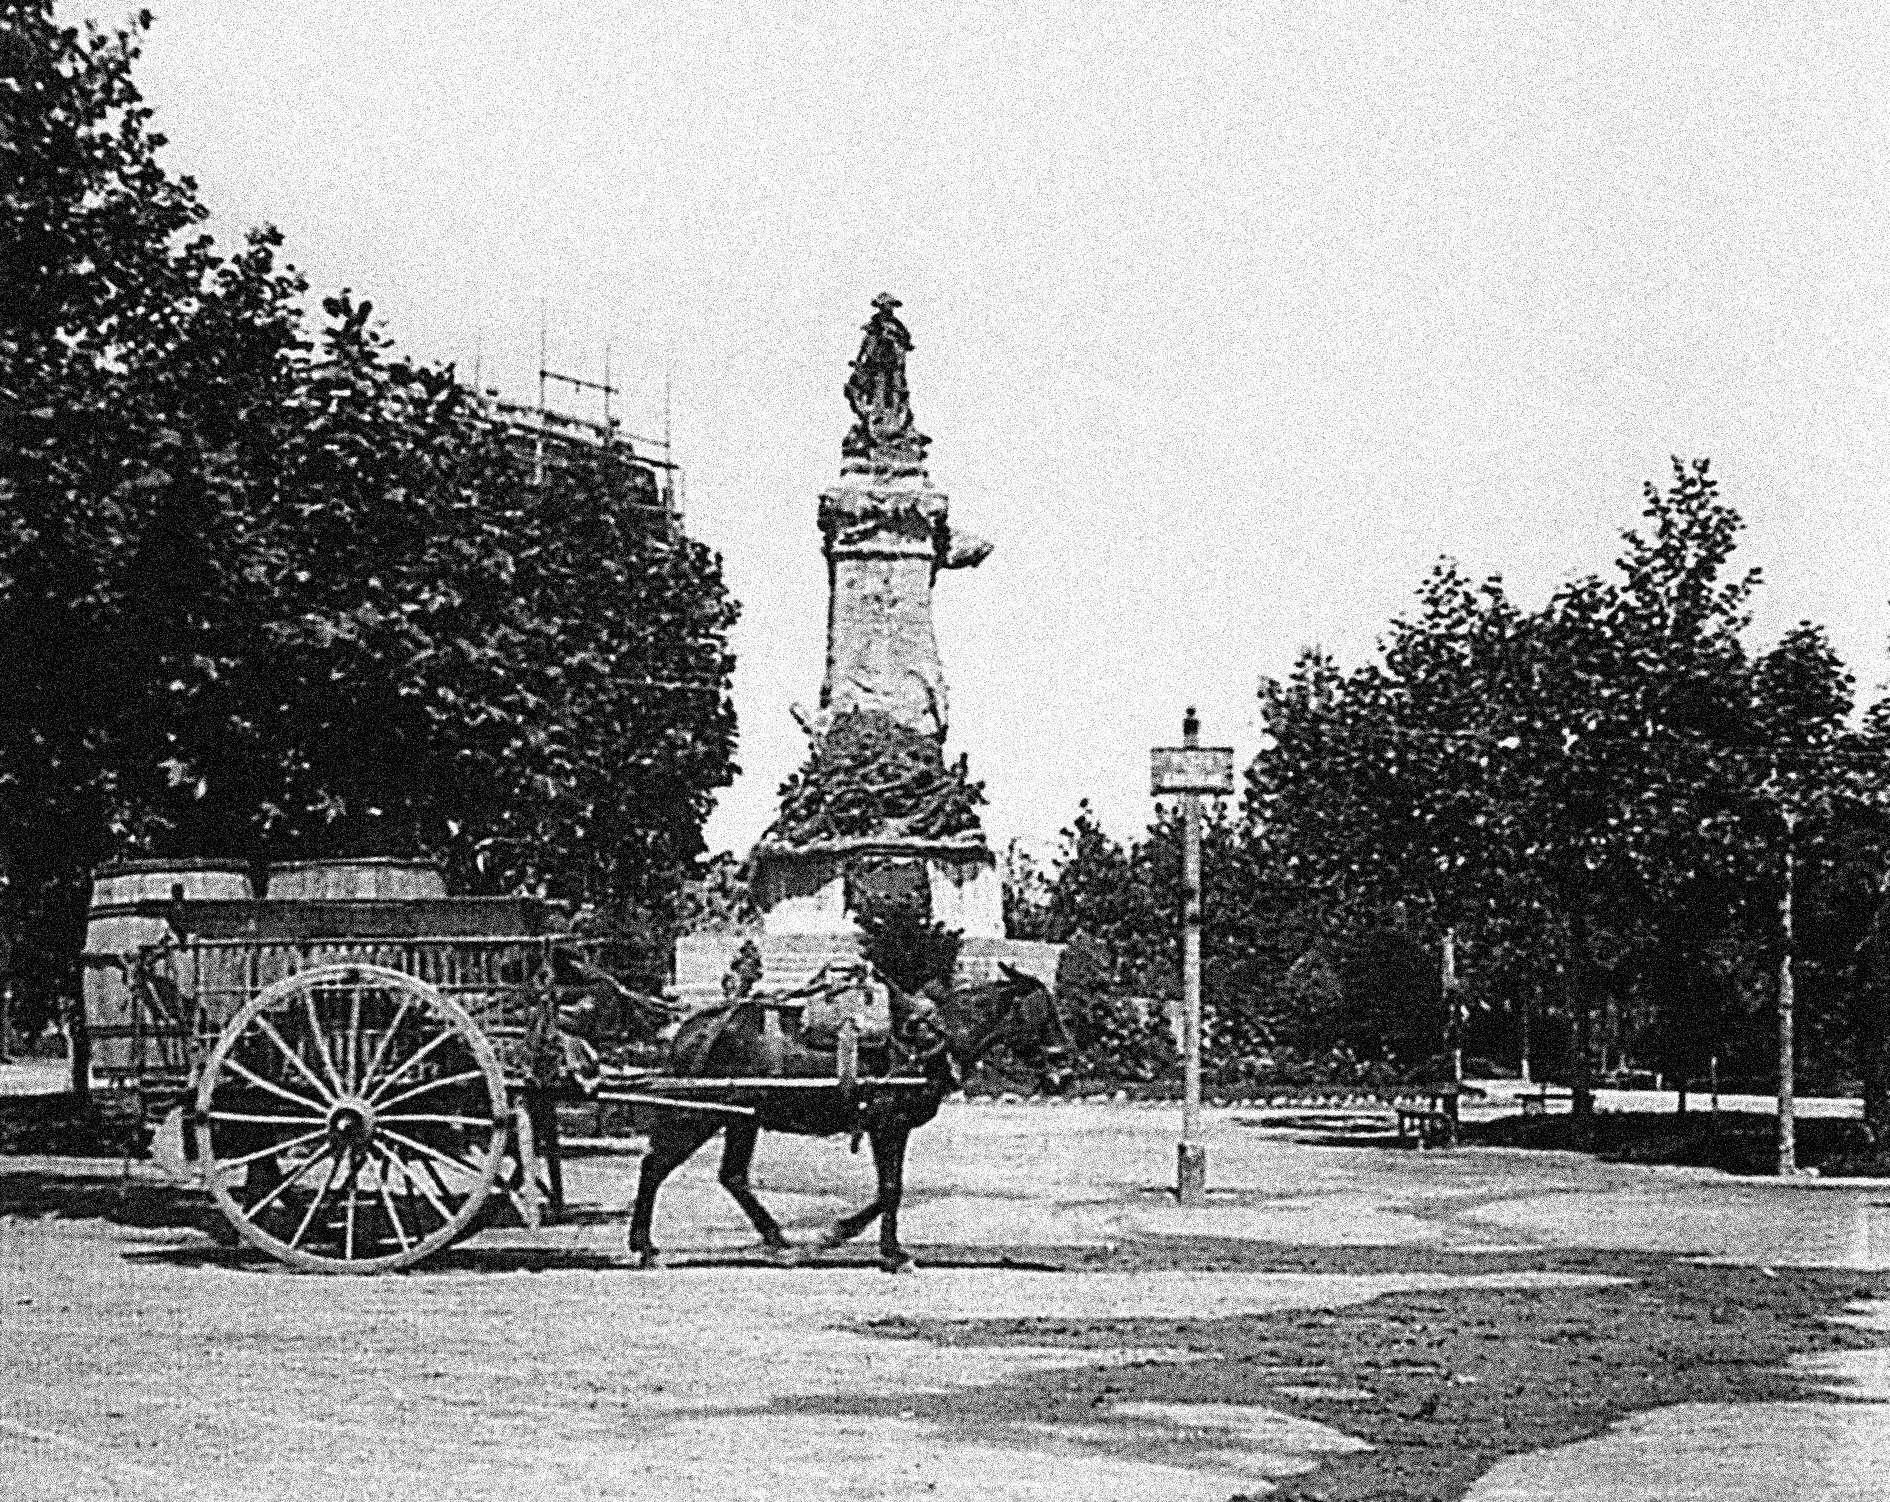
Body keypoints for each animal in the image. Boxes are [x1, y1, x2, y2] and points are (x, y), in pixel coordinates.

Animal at [631, 967, 1081, 1277]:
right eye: (1043, 1011)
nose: (1065, 1068)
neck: (931, 1040)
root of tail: (692, 1030)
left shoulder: (893, 1127)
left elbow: (890, 1190)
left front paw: (871, 1244)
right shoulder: (888, 1123)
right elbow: (891, 1189)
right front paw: (864, 1244)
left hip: (742, 1119)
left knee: (732, 1176)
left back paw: (779, 1242)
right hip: (698, 1114)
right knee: (654, 1166)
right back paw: (646, 1249)